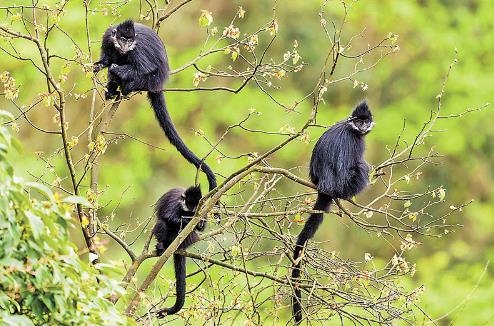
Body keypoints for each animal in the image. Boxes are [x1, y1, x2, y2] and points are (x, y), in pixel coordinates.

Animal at [92, 19, 216, 191]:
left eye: (129, 40)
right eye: (123, 39)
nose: (125, 46)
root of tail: (158, 83)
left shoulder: (137, 50)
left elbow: (143, 67)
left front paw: (116, 69)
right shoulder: (107, 38)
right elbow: (107, 58)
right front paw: (99, 65)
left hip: (149, 80)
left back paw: (125, 88)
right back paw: (112, 90)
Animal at [151, 186, 204, 316]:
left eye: (196, 205)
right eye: (190, 204)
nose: (193, 210)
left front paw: (198, 223)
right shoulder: (174, 204)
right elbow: (168, 216)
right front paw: (187, 221)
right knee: (162, 222)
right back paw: (162, 247)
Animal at [292, 102, 372, 324]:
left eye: (366, 121)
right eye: (359, 121)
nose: (363, 127)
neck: (352, 129)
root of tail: (324, 186)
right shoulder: (355, 142)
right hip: (343, 185)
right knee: (362, 168)